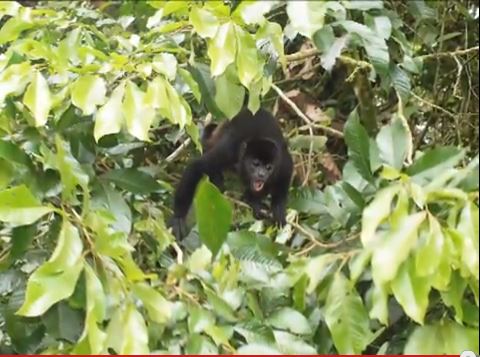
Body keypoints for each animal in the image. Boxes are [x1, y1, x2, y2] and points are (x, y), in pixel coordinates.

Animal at [171, 107, 294, 238]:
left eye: (269, 167)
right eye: (255, 164)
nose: (262, 174)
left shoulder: (282, 162)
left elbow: (285, 176)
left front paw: (278, 208)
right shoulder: (228, 151)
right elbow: (196, 166)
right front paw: (178, 218)